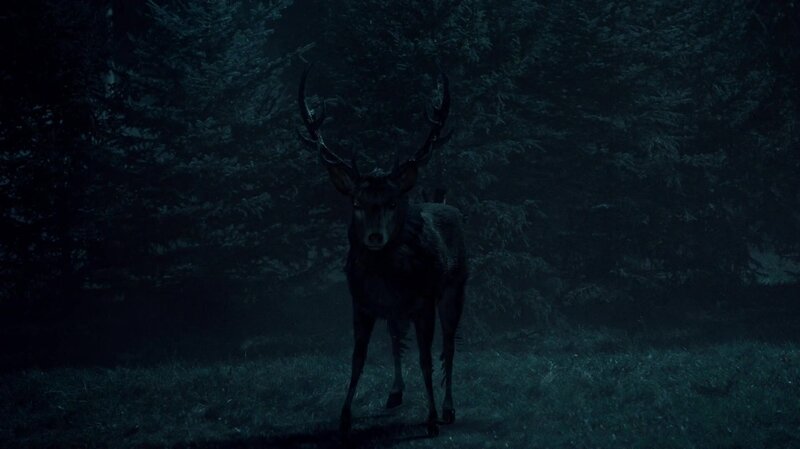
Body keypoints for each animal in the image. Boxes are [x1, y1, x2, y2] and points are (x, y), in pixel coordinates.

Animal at [298, 65, 468, 438]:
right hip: (395, 312)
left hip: (456, 287)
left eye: (392, 202)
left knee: (449, 345)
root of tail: (442, 200)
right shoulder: (361, 304)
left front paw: (431, 419)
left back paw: (449, 408)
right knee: (394, 338)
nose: (375, 237)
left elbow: (426, 359)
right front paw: (344, 416)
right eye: (357, 203)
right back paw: (395, 392)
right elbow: (357, 358)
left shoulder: (423, 303)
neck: (385, 280)